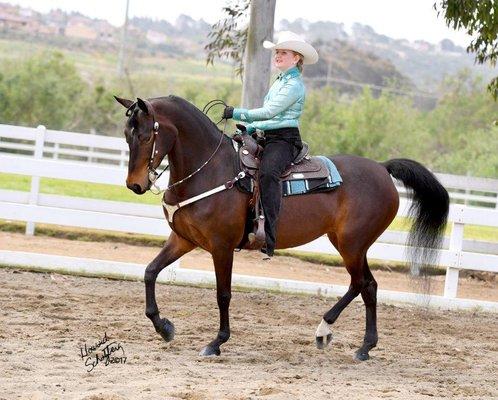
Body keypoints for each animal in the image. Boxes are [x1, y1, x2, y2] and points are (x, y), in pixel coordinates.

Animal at [115, 95, 450, 360]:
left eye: (146, 136)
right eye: (126, 135)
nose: (134, 185)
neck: (211, 171)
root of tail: (382, 168)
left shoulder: (222, 247)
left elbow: (223, 294)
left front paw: (216, 342)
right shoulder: (183, 240)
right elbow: (150, 272)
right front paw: (164, 328)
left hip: (352, 244)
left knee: (362, 284)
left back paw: (337, 334)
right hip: (348, 243)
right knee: (367, 285)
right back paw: (354, 342)